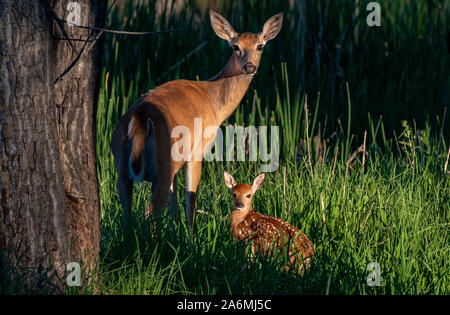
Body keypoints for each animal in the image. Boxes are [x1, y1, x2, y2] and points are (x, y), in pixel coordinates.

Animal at [110, 11, 284, 235]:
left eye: (260, 46)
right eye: (235, 47)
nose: (249, 67)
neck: (214, 103)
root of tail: (139, 116)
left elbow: (174, 204)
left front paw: (176, 232)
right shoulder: (197, 152)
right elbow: (190, 200)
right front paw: (190, 237)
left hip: (121, 162)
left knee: (128, 212)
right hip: (162, 162)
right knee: (149, 212)